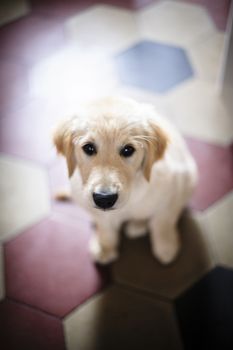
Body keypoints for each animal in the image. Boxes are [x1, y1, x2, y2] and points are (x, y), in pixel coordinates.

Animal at [53, 97, 198, 264]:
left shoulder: (177, 186)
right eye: (88, 148)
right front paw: (105, 247)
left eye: (128, 150)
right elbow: (105, 227)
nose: (104, 199)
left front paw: (166, 246)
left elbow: (163, 221)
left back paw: (138, 225)